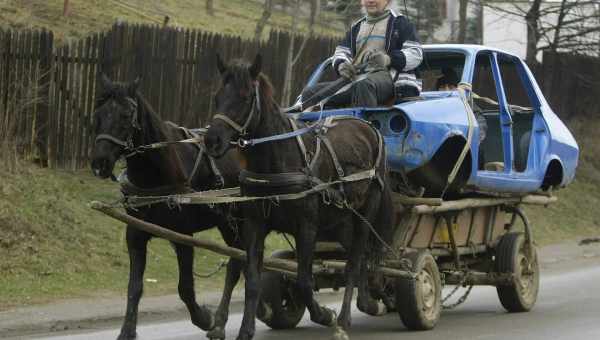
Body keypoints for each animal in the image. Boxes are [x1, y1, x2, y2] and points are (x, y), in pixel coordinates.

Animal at [89, 76, 241, 340]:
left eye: (126, 115)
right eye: (98, 113)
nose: (99, 163)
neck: (157, 172)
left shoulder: (183, 236)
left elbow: (185, 288)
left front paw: (205, 318)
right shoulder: (135, 234)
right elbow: (134, 287)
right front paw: (126, 331)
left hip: (234, 223)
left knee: (237, 264)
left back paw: (220, 322)